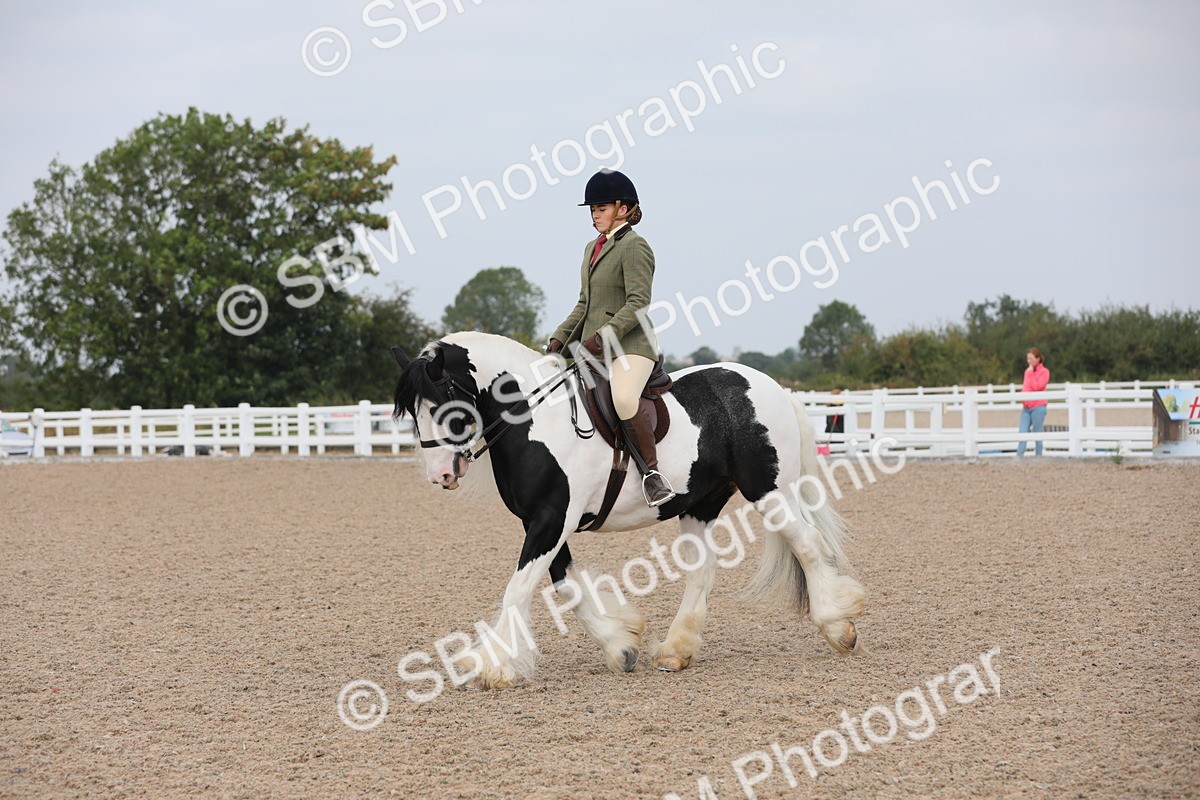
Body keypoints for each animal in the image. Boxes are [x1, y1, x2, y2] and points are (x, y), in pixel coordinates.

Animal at [391, 331, 865, 689]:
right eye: (413, 411)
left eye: (444, 405)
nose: (441, 475)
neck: (535, 421)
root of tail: (774, 388)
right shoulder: (543, 522)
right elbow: (566, 587)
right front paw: (620, 646)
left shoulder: (551, 519)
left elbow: (519, 589)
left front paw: (497, 666)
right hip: (701, 503)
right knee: (703, 570)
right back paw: (676, 651)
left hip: (769, 491)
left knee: (808, 545)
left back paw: (838, 628)